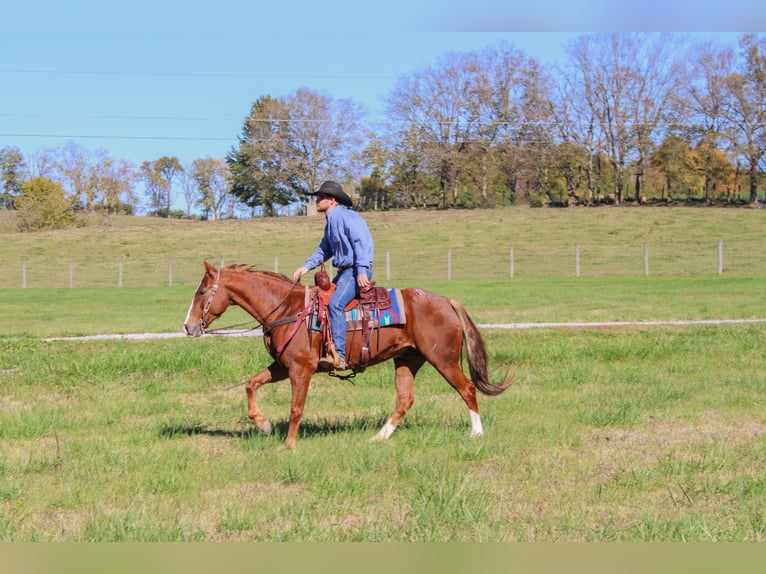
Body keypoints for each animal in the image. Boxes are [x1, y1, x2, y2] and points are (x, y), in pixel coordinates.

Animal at [183, 262, 512, 450]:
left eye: (201, 292)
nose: (188, 326)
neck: (288, 309)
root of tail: (446, 301)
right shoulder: (282, 366)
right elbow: (251, 384)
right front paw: (263, 425)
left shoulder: (300, 369)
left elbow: (295, 408)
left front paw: (287, 445)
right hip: (407, 359)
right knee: (404, 400)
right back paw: (379, 437)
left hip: (443, 359)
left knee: (466, 388)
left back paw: (476, 433)